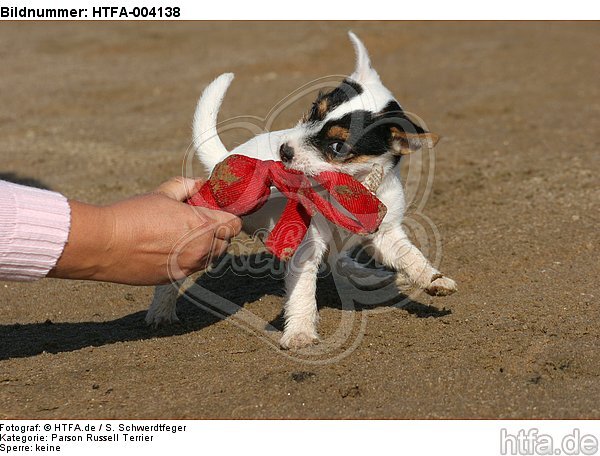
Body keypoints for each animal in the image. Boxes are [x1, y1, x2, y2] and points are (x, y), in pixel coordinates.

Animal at [148, 33, 458, 350]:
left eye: (337, 146)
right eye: (313, 111)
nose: (284, 150)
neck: (349, 188)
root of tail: (224, 159)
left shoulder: (385, 232)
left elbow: (411, 255)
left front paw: (432, 279)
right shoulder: (306, 245)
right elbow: (302, 293)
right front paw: (300, 332)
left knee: (340, 261)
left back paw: (368, 274)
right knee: (170, 275)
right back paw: (161, 310)